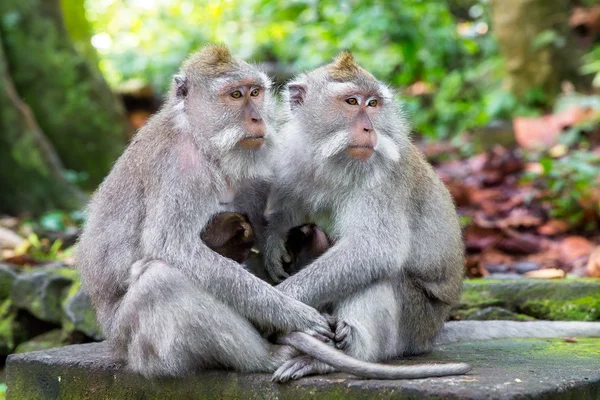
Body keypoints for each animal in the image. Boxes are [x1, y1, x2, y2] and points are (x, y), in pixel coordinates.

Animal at [262, 51, 600, 382]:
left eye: (373, 104)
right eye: (351, 101)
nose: (369, 128)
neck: (333, 159)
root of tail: (433, 333)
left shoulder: (382, 175)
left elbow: (375, 249)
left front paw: (281, 301)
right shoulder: (290, 153)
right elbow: (283, 209)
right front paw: (274, 241)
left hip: (415, 323)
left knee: (379, 273)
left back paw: (341, 357)